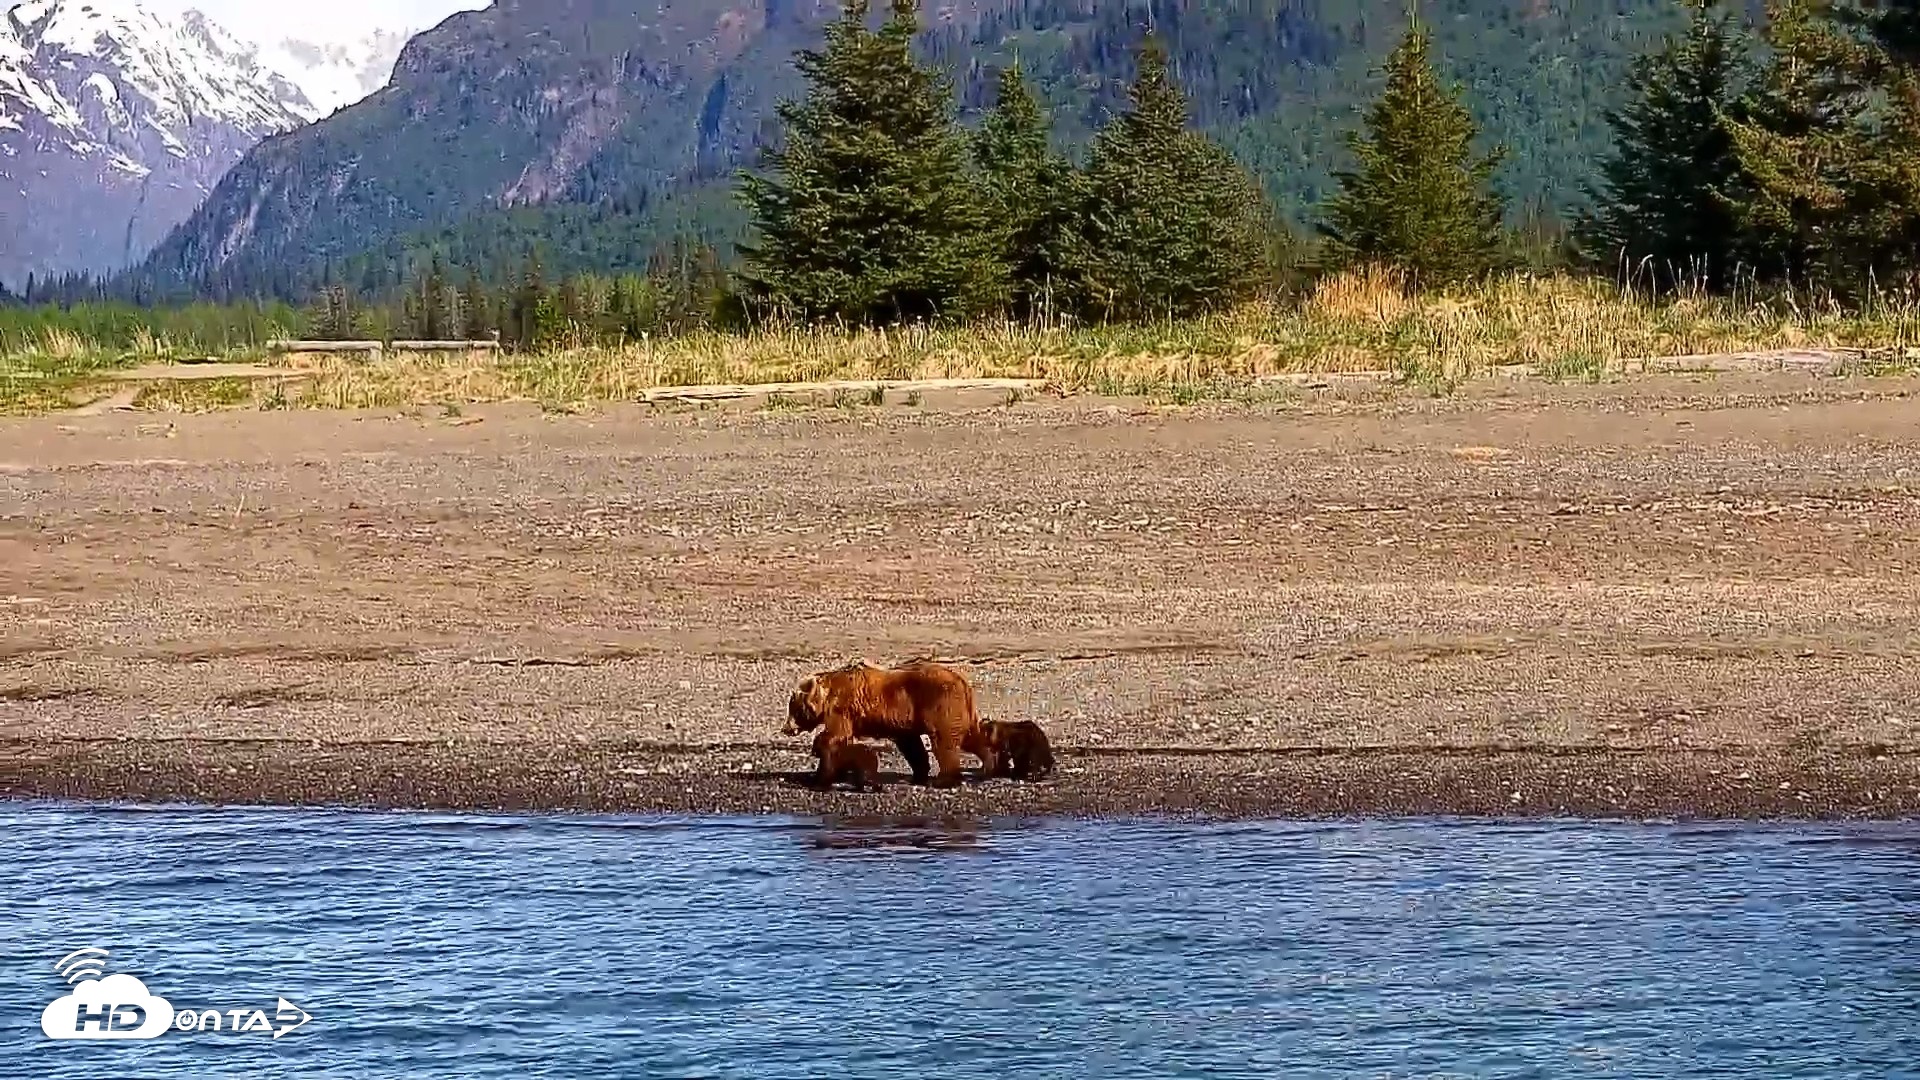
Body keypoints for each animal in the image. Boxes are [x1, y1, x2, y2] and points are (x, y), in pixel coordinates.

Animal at [783, 659, 996, 789]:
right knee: (971, 736)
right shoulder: (902, 723)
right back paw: (988, 765)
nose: (786, 728)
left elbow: (834, 734)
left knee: (944, 741)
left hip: (939, 703)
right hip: (958, 709)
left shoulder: (842, 709)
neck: (825, 696)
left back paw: (944, 779)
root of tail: (962, 681)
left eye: (793, 708)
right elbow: (912, 747)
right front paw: (918, 774)